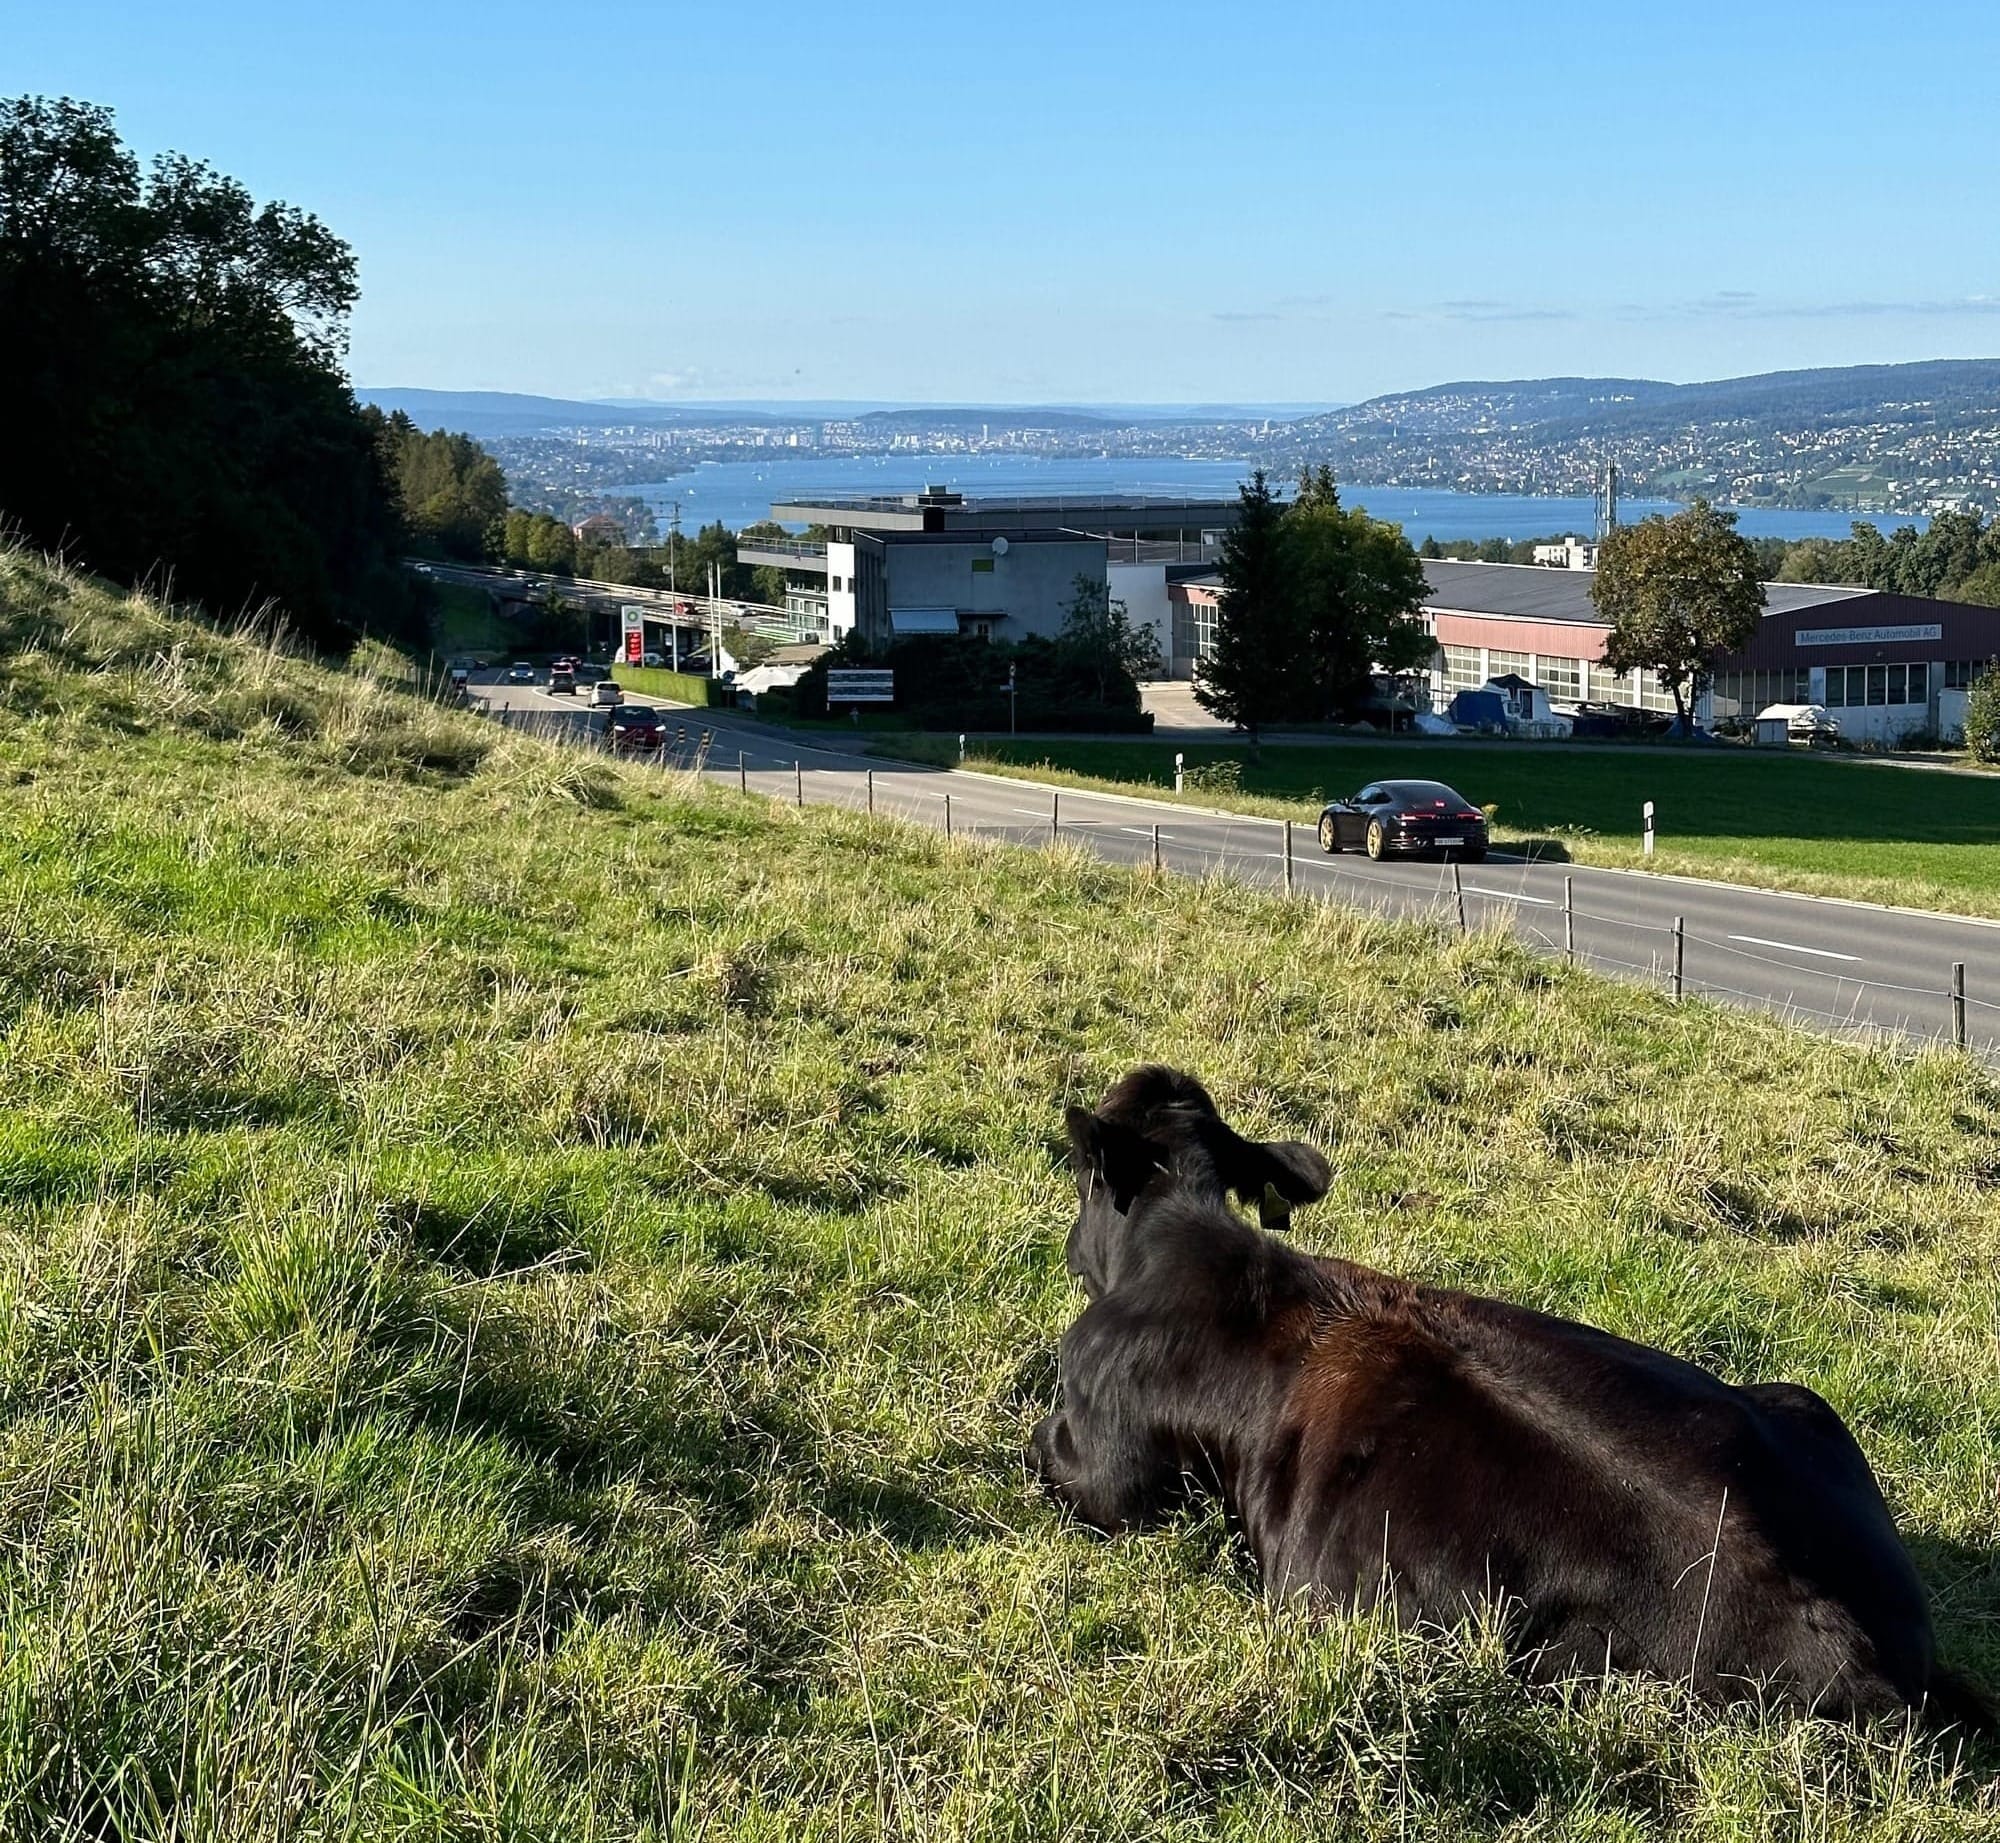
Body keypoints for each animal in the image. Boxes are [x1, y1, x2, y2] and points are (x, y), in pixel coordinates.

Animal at [1024, 1063, 1992, 1727]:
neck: (1181, 1251)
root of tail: (1877, 1648)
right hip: (1802, 1400)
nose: (1069, 1248)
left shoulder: (1099, 1465)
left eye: (1077, 1173)